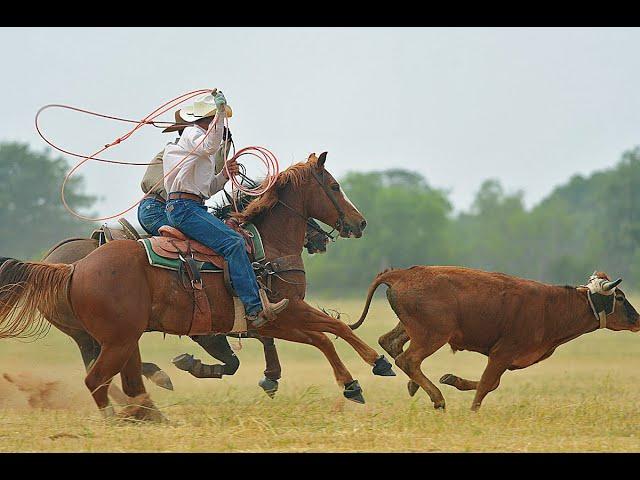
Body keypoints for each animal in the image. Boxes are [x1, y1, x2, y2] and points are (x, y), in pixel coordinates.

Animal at [0, 154, 396, 420]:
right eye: (334, 186)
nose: (359, 223)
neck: (264, 247)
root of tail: (71, 267)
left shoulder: (271, 320)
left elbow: (316, 337)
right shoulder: (282, 312)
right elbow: (332, 330)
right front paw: (371, 368)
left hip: (117, 338)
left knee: (120, 378)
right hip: (110, 338)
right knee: (99, 377)